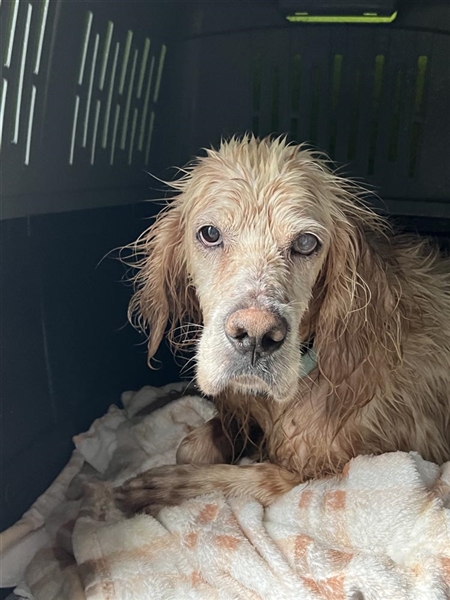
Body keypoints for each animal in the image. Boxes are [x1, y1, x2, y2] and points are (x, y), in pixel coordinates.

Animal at [117, 135, 450, 516]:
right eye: (210, 233)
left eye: (306, 242)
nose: (255, 336)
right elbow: (198, 441)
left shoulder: (322, 477)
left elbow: (245, 477)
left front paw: (161, 488)